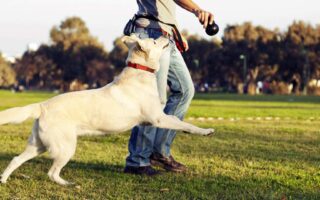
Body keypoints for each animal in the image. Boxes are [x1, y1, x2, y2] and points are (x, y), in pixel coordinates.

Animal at [1, 34, 214, 184]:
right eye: (154, 41)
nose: (167, 35)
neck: (139, 73)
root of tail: (42, 106)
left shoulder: (155, 119)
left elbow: (178, 122)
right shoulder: (158, 118)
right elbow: (183, 123)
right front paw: (205, 131)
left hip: (38, 145)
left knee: (16, 159)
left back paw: (4, 179)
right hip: (65, 147)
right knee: (52, 173)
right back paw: (68, 184)